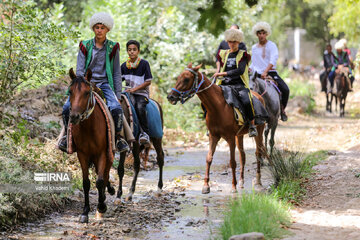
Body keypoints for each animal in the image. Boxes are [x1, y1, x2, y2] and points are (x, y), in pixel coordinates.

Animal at [67, 68, 115, 222]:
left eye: (87, 92)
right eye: (70, 92)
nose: (74, 117)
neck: (88, 127)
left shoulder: (102, 153)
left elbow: (99, 181)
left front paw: (101, 206)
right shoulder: (82, 154)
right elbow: (86, 183)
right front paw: (85, 212)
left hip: (109, 155)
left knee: (105, 175)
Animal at [168, 63, 268, 193]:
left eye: (186, 79)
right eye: (178, 78)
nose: (170, 96)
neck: (218, 107)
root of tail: (259, 97)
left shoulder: (230, 138)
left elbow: (232, 162)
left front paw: (233, 187)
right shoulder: (213, 136)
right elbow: (209, 158)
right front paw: (206, 186)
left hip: (259, 132)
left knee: (258, 153)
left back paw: (258, 183)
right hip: (239, 135)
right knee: (243, 156)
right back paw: (241, 182)